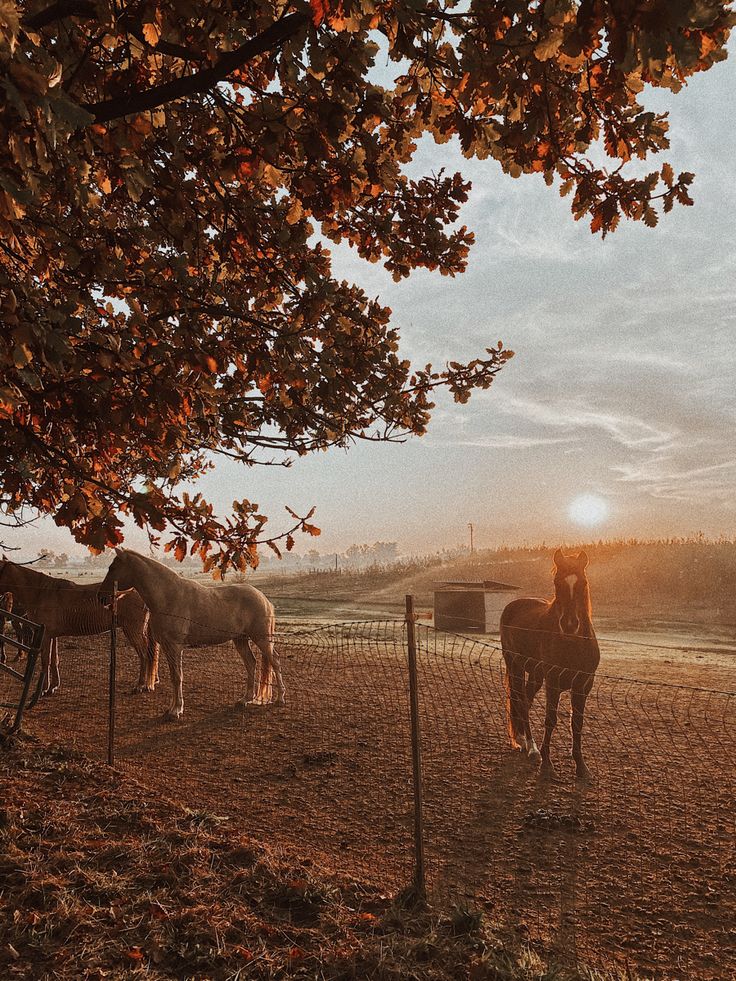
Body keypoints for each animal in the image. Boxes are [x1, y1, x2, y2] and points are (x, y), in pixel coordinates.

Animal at [0, 560, 160, 696]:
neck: (40, 592)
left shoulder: (45, 636)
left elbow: (45, 661)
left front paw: (42, 690)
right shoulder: (52, 635)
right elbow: (54, 659)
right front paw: (53, 687)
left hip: (133, 631)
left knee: (145, 655)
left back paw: (140, 685)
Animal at [98, 548, 282, 724]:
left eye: (112, 568)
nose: (101, 597)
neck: (168, 597)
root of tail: (264, 599)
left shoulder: (175, 647)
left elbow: (178, 677)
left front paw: (176, 711)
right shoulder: (167, 647)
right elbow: (174, 677)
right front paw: (171, 709)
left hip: (262, 639)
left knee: (275, 662)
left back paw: (280, 699)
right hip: (241, 640)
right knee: (251, 663)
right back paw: (245, 700)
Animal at [500, 548, 600, 776]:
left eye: (583, 583)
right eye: (557, 582)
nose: (570, 625)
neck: (572, 643)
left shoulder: (583, 685)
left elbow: (577, 723)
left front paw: (581, 766)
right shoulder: (553, 683)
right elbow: (550, 719)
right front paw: (547, 764)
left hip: (536, 674)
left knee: (526, 701)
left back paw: (527, 742)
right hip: (515, 666)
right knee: (520, 700)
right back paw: (529, 746)